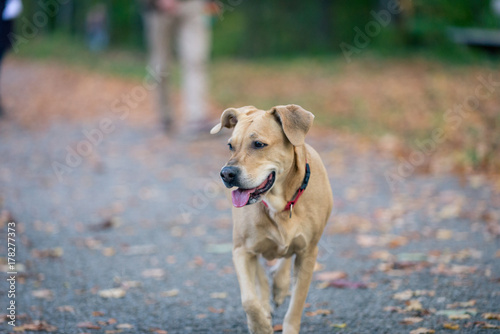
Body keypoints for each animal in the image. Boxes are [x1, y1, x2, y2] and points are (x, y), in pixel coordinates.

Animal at [210, 105, 332, 334]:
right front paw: (260, 326)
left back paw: (280, 286)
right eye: (230, 145)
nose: (226, 173)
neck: (280, 204)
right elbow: (249, 300)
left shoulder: (308, 252)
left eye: (259, 144)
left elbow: (297, 302)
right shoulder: (241, 250)